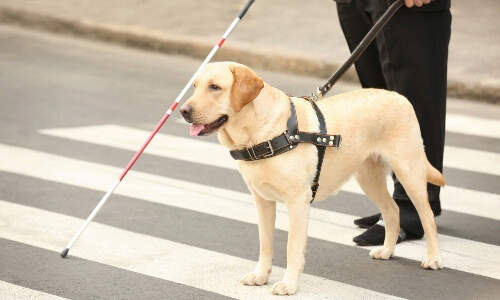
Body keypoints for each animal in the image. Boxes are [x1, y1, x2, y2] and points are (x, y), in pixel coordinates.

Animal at [180, 61, 446, 296]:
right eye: (195, 86)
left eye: (215, 87)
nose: (183, 111)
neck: (261, 133)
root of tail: (400, 97)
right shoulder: (262, 200)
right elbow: (265, 242)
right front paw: (261, 276)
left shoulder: (298, 201)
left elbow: (292, 246)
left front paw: (289, 284)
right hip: (368, 177)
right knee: (392, 210)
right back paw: (387, 250)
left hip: (409, 171)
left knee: (426, 216)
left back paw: (433, 258)